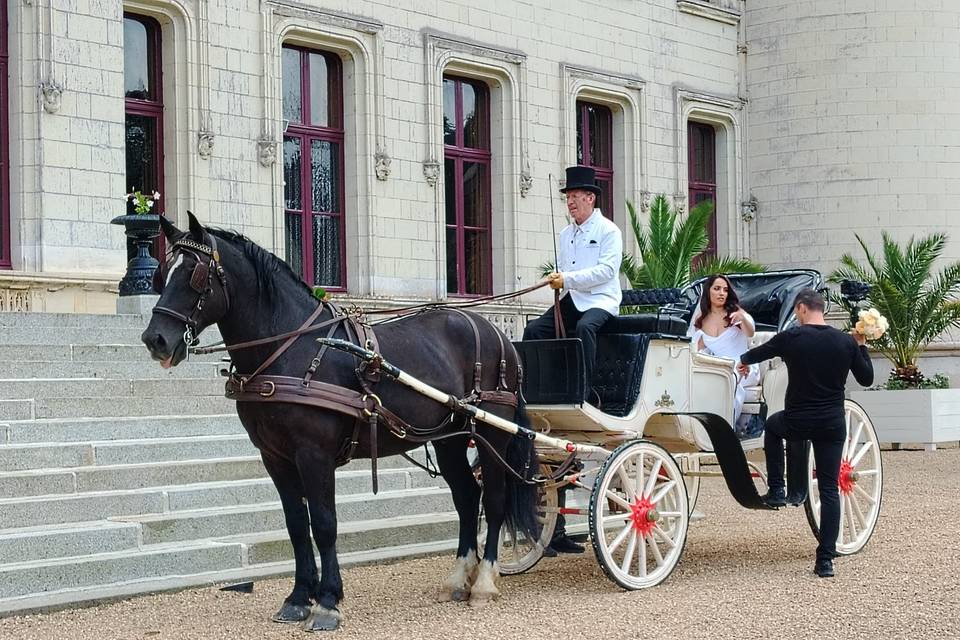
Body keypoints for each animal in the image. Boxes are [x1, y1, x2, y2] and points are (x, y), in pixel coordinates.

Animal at [142, 214, 540, 632]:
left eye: (194, 274)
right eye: (162, 274)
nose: (155, 339)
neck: (292, 349)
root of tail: (496, 333)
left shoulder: (313, 454)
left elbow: (324, 523)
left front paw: (328, 601)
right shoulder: (275, 457)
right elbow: (296, 525)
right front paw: (298, 598)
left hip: (493, 432)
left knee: (493, 499)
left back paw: (484, 581)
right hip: (449, 438)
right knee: (466, 497)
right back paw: (458, 578)